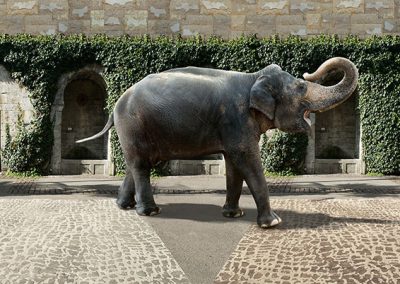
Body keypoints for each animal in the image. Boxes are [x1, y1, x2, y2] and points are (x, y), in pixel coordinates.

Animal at [76, 57, 358, 229]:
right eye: (300, 86)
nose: (308, 72)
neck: (253, 77)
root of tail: (116, 104)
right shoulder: (236, 119)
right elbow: (248, 161)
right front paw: (273, 223)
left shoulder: (234, 127)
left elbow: (234, 165)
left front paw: (234, 215)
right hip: (133, 124)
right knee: (141, 165)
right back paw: (150, 212)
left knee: (136, 164)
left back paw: (124, 207)